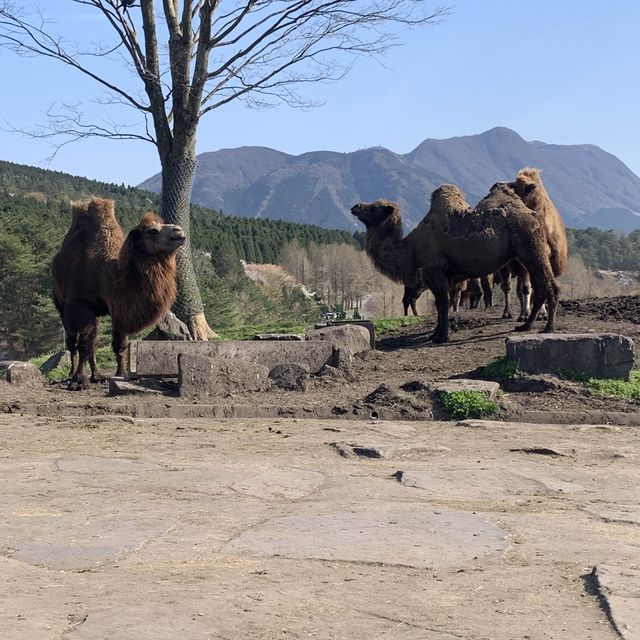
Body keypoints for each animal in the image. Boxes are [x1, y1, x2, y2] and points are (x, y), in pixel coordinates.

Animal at [52, 199, 185, 390]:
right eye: (152, 231)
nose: (179, 231)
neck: (105, 273)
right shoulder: (81, 305)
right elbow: (83, 344)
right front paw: (79, 381)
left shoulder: (119, 308)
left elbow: (119, 345)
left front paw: (122, 374)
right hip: (62, 305)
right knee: (72, 341)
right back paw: (71, 374)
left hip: (96, 314)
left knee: (92, 342)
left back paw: (97, 375)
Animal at [352, 182, 556, 342]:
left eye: (375, 207)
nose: (356, 206)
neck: (412, 247)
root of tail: (533, 214)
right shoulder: (441, 276)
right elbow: (442, 303)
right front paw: (436, 333)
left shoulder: (435, 269)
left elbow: (443, 303)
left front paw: (442, 336)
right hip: (526, 256)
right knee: (539, 287)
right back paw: (526, 326)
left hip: (532, 251)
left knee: (548, 286)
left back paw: (547, 327)